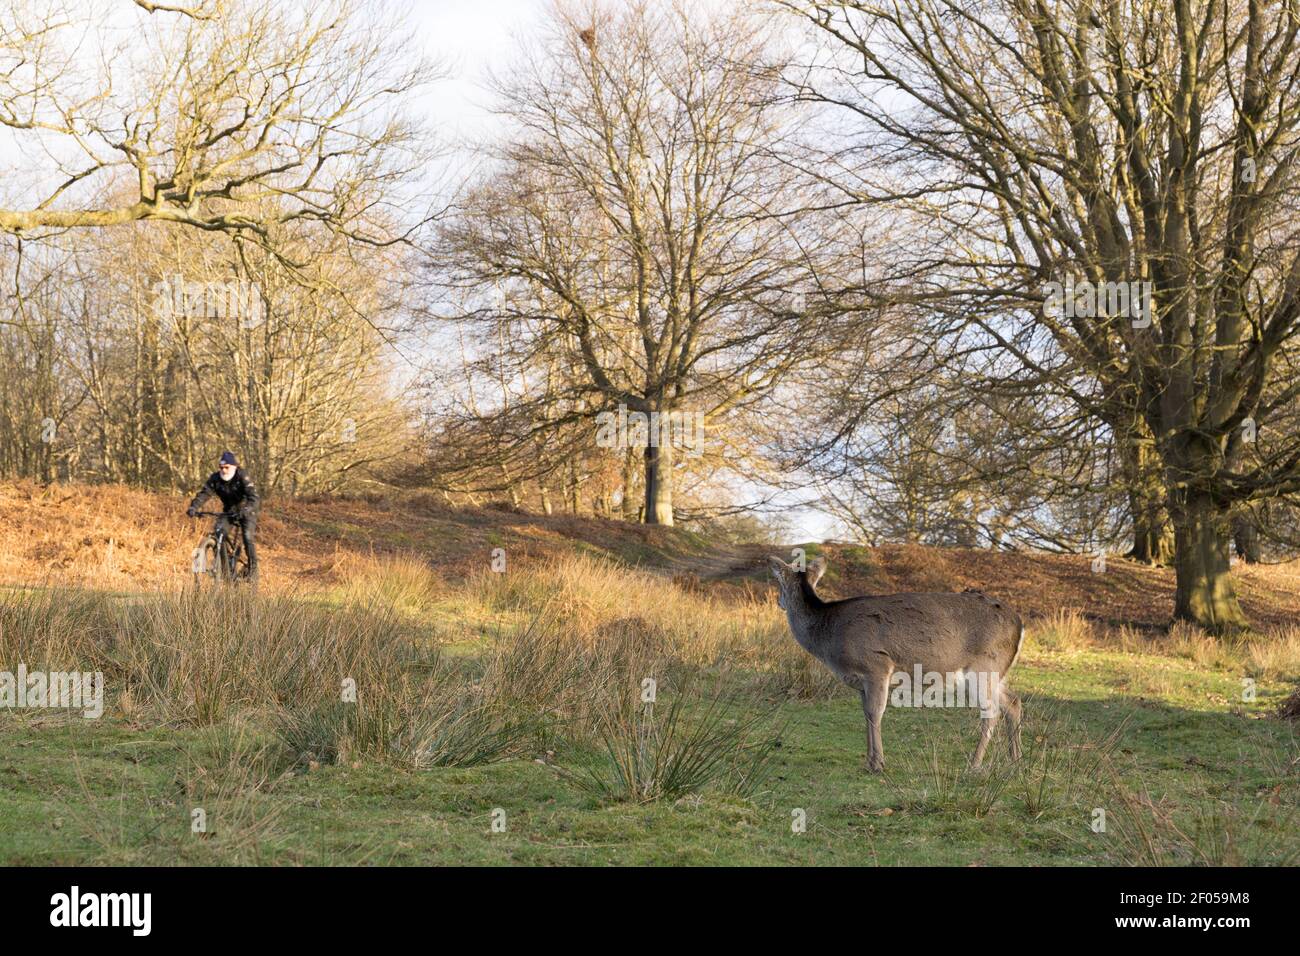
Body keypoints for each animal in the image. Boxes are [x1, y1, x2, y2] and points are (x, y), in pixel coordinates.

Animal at [768, 555, 1024, 773]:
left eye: (779, 582)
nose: (779, 602)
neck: (830, 638)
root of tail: (1020, 624)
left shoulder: (876, 665)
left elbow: (875, 712)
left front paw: (878, 763)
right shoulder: (862, 682)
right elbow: (866, 713)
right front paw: (869, 760)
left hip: (984, 665)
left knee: (991, 711)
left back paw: (974, 764)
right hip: (992, 673)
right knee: (1013, 702)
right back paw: (1015, 760)